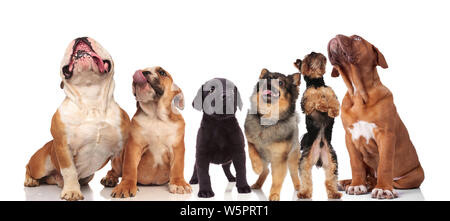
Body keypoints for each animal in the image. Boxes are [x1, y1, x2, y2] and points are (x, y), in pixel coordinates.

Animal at [24, 37, 130, 201]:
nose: (80, 37)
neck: (91, 98)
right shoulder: (63, 146)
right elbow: (69, 171)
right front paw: (72, 191)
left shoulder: (121, 148)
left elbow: (122, 167)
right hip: (40, 165)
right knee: (28, 168)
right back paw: (30, 180)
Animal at [110, 66, 192, 197]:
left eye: (162, 72)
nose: (143, 72)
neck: (156, 116)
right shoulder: (134, 146)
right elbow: (129, 167)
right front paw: (126, 185)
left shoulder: (177, 147)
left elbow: (178, 166)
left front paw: (179, 183)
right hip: (118, 158)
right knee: (113, 170)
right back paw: (109, 179)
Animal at [244, 68, 300, 200]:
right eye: (267, 78)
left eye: (281, 83)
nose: (269, 80)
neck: (268, 120)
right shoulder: (250, 140)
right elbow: (252, 152)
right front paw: (256, 167)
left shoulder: (279, 158)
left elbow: (277, 179)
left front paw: (274, 194)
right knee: (266, 170)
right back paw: (257, 183)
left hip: (293, 158)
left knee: (294, 173)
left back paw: (299, 187)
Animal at [294, 51, 340, 199]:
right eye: (306, 57)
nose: (313, 52)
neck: (316, 83)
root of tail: (319, 157)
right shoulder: (306, 103)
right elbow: (313, 97)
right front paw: (322, 103)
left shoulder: (332, 94)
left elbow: (333, 101)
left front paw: (329, 107)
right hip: (305, 161)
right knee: (306, 178)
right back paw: (304, 193)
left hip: (332, 161)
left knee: (330, 179)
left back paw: (334, 193)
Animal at [328, 34, 424, 199]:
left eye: (357, 38)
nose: (335, 36)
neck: (358, 94)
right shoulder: (350, 137)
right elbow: (356, 164)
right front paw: (356, 184)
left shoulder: (386, 135)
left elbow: (384, 164)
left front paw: (383, 189)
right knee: (369, 176)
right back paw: (348, 182)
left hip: (415, 175)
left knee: (387, 180)